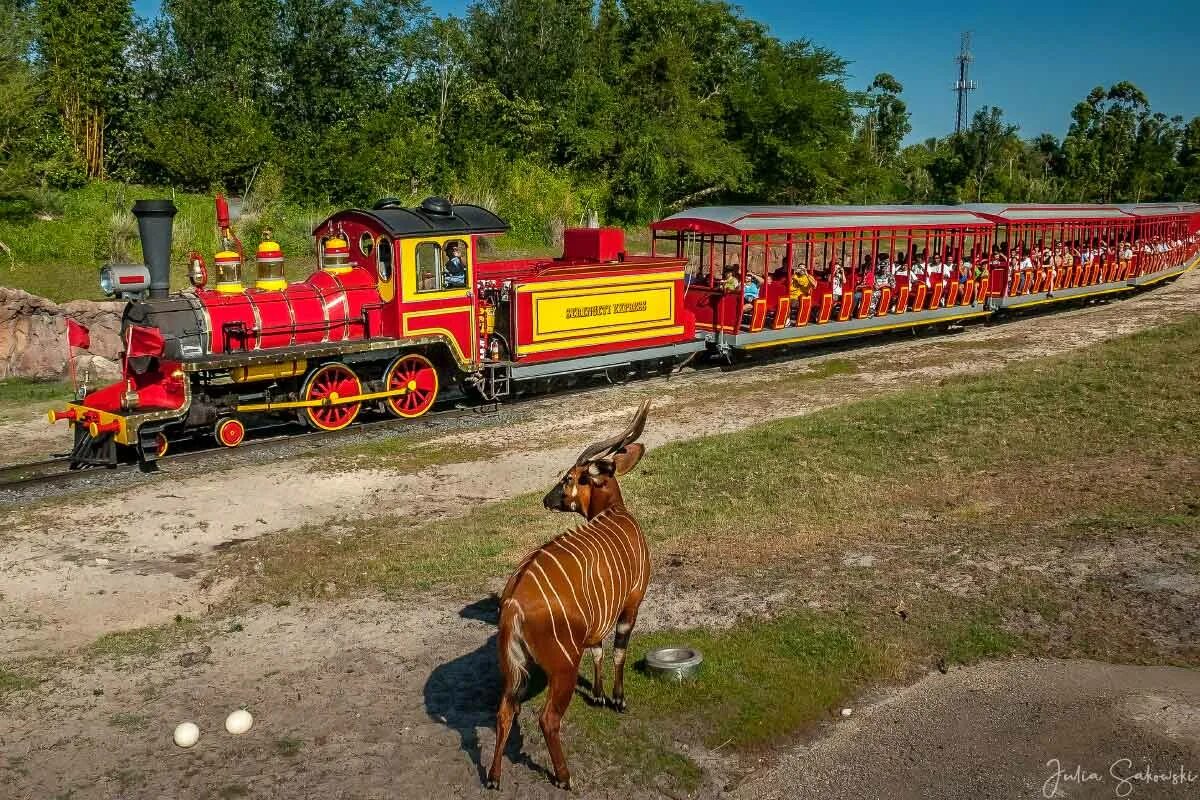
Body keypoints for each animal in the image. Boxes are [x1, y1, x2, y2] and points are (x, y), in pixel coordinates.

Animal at [487, 402, 657, 791]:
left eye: (567, 478)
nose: (546, 499)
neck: (614, 513)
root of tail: (513, 605)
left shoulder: (594, 627)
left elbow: (599, 650)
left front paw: (597, 695)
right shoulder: (632, 602)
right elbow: (619, 650)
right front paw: (617, 699)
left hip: (512, 669)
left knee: (505, 711)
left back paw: (494, 777)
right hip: (563, 666)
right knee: (547, 718)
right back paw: (564, 776)